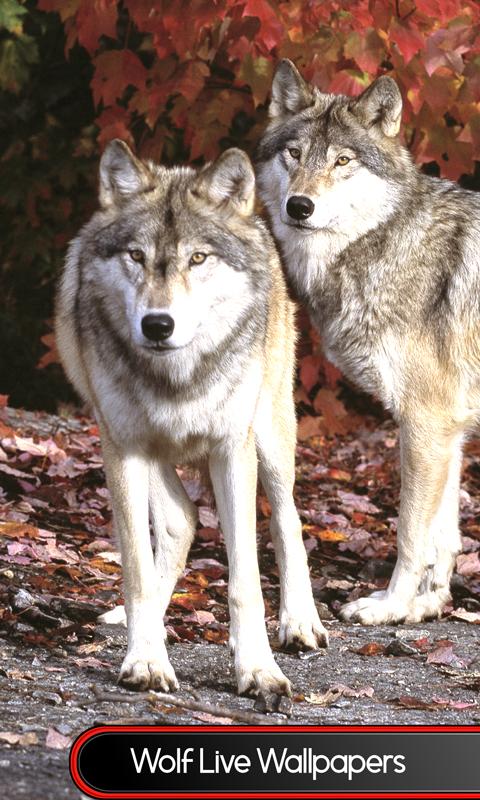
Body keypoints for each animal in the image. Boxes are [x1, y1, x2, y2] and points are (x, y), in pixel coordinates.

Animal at [55, 139, 326, 692]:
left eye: (198, 258)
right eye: (136, 256)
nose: (158, 325)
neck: (178, 377)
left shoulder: (231, 449)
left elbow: (246, 578)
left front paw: (258, 668)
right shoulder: (123, 448)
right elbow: (137, 567)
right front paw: (145, 659)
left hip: (269, 438)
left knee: (287, 521)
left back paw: (300, 624)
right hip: (141, 445)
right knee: (181, 519)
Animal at [256, 59, 480, 628]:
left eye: (343, 161)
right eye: (295, 154)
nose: (299, 206)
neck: (384, 242)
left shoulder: (426, 422)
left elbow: (409, 533)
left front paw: (391, 606)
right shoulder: (449, 429)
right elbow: (442, 536)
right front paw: (426, 606)